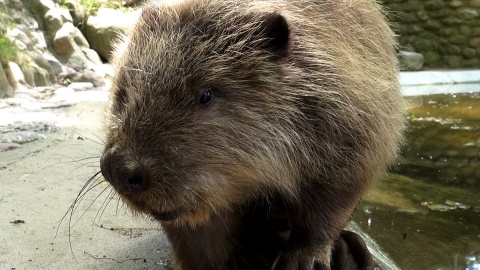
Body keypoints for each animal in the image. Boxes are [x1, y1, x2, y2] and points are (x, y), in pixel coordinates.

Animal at [99, 0, 404, 268]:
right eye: (123, 91)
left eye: (206, 94)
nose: (118, 169)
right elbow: (194, 235)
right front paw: (232, 259)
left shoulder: (353, 119)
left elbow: (335, 197)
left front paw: (303, 260)